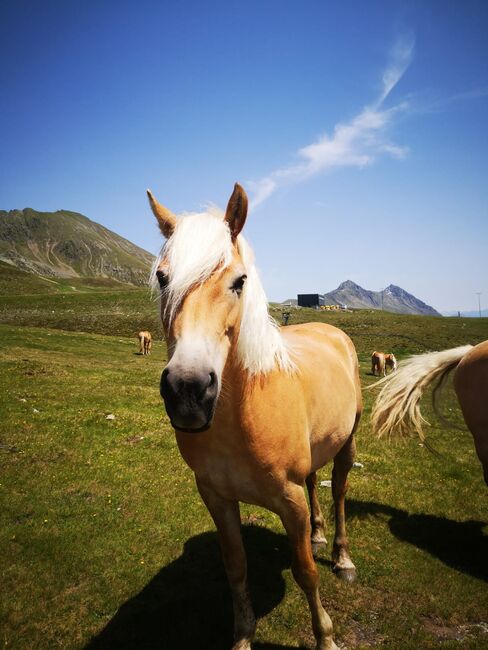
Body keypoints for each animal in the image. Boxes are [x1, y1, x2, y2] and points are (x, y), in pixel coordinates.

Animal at [148, 181, 362, 648]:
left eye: (239, 281)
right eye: (162, 278)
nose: (188, 390)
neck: (241, 419)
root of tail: (331, 330)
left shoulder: (290, 503)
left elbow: (306, 573)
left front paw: (326, 637)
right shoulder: (217, 498)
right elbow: (236, 569)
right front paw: (243, 635)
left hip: (347, 444)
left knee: (337, 492)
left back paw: (341, 556)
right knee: (317, 487)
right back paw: (319, 534)